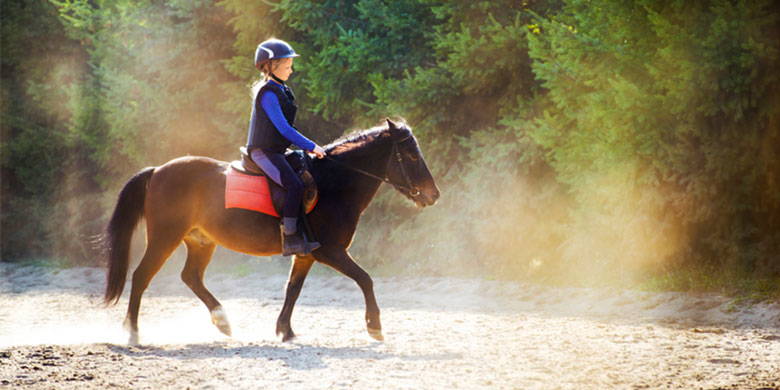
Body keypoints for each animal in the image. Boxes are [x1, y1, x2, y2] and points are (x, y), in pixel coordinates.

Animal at [100, 119, 438, 344]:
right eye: (410, 156)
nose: (433, 194)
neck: (333, 183)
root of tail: (158, 171)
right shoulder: (330, 251)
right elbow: (366, 279)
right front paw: (375, 326)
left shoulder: (306, 254)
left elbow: (293, 289)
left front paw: (285, 330)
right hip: (164, 238)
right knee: (141, 277)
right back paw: (133, 333)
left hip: (201, 241)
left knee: (191, 277)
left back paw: (222, 321)